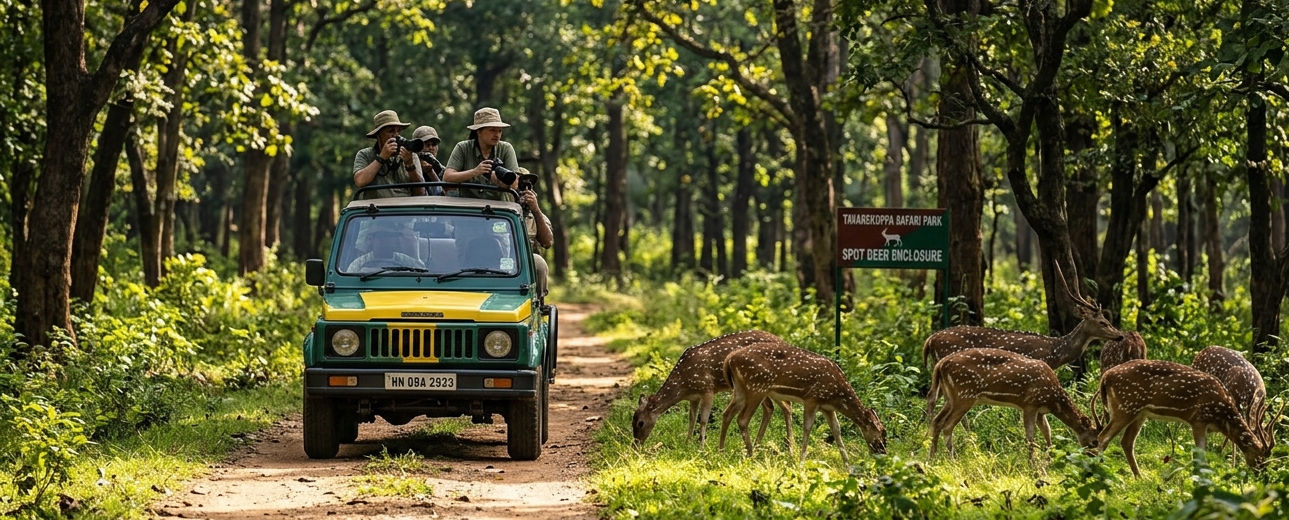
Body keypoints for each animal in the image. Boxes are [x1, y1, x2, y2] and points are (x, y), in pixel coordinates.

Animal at [632, 330, 794, 447]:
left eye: (640, 423)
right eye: (632, 422)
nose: (636, 444)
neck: (683, 384)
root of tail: (783, 341)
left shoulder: (708, 389)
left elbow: (703, 420)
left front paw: (701, 447)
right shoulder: (694, 397)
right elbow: (691, 419)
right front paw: (687, 443)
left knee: (786, 406)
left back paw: (789, 446)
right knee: (770, 407)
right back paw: (758, 444)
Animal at [717, 341, 886, 464]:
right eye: (882, 433)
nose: (883, 453)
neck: (837, 395)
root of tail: (729, 359)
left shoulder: (827, 408)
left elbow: (836, 430)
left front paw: (848, 465)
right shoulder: (812, 399)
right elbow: (807, 428)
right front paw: (801, 462)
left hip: (740, 390)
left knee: (726, 414)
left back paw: (721, 451)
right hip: (756, 387)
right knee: (742, 419)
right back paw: (751, 455)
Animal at [927, 348, 1100, 461]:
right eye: (1094, 441)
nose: (1095, 457)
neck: (1052, 399)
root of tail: (940, 365)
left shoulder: (1040, 411)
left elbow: (1047, 432)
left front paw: (1050, 459)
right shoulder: (1029, 404)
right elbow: (1030, 436)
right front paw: (1032, 465)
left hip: (950, 397)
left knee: (937, 421)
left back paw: (932, 458)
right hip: (964, 395)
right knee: (947, 425)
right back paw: (952, 459)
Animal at [1092, 359, 1273, 477]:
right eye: (1260, 458)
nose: (1262, 476)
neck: (1221, 416)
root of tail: (1105, 377)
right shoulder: (1198, 419)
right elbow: (1200, 456)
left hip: (1140, 413)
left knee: (1126, 442)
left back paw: (1141, 477)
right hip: (1125, 406)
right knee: (1103, 437)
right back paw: (1099, 471)